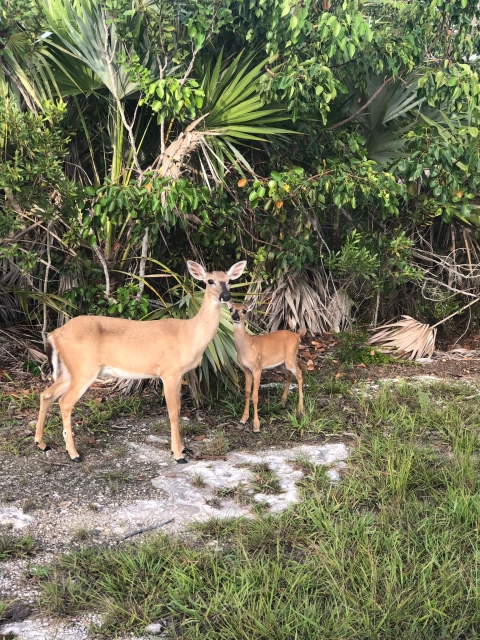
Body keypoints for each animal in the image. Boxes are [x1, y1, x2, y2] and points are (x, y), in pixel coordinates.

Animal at [35, 260, 246, 464]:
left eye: (229, 280)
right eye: (210, 281)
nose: (226, 296)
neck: (190, 334)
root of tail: (54, 334)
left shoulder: (179, 375)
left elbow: (178, 408)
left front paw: (182, 448)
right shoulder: (169, 372)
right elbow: (173, 411)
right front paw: (178, 454)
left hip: (68, 371)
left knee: (46, 394)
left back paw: (42, 443)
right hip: (84, 368)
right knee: (64, 401)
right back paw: (74, 454)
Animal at [228, 302, 304, 432]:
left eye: (244, 311)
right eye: (231, 309)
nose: (235, 317)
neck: (247, 346)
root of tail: (297, 335)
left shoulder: (257, 367)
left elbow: (255, 396)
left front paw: (256, 425)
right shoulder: (246, 369)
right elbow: (247, 392)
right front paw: (243, 418)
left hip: (290, 358)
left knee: (299, 374)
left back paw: (300, 409)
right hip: (280, 364)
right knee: (289, 374)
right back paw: (282, 402)